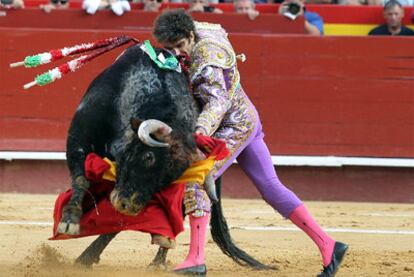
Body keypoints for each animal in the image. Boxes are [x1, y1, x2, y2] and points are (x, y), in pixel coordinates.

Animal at [59, 44, 270, 268]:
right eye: (148, 157)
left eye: (172, 177)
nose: (128, 206)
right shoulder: (78, 137)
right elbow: (82, 179)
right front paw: (69, 222)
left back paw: (158, 256)